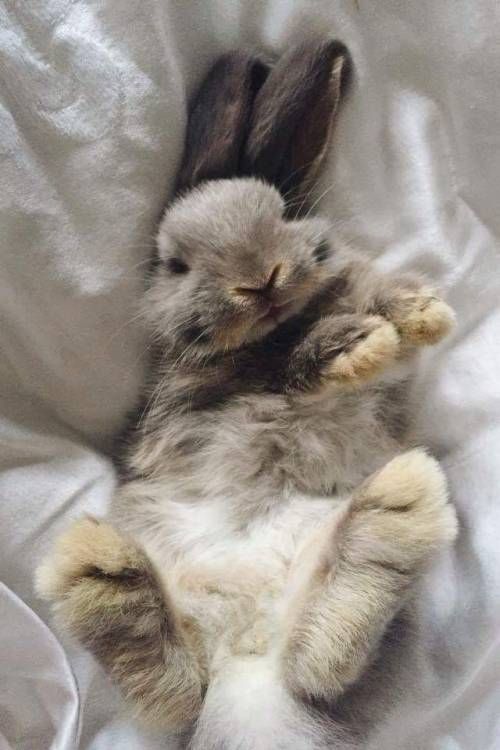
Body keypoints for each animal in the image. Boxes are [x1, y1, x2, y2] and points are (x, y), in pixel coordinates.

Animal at [36, 39, 458, 750]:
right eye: (176, 264)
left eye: (283, 212)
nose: (259, 278)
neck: (279, 324)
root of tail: (245, 656)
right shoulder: (201, 393)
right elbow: (288, 369)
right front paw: (355, 346)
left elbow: (379, 300)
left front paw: (424, 316)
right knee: (184, 690)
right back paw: (99, 572)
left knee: (315, 665)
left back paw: (388, 517)